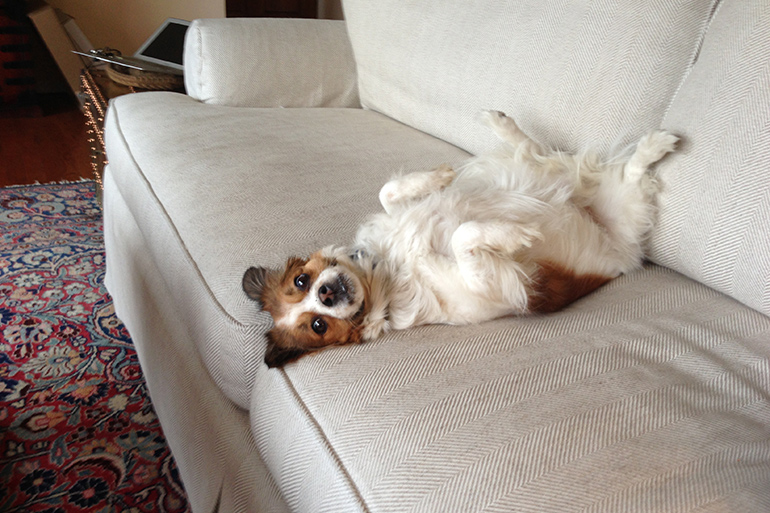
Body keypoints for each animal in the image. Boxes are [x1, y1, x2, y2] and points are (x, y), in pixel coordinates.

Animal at [243, 110, 676, 366]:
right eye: (318, 325)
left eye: (302, 280)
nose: (328, 293)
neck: (388, 270)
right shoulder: (493, 283)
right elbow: (466, 235)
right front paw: (516, 233)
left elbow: (388, 191)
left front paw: (438, 177)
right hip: (627, 212)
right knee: (629, 172)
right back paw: (656, 144)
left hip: (565, 178)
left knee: (541, 153)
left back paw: (502, 124)